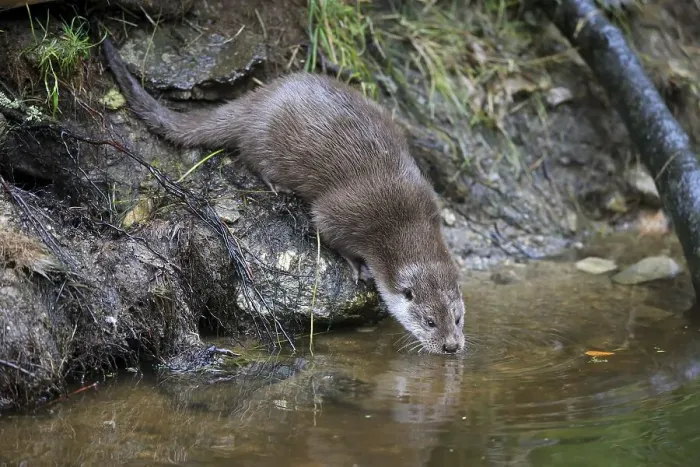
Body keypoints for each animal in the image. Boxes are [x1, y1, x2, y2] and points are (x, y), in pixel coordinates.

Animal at [101, 37, 465, 354]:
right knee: (252, 157)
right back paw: (279, 186)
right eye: (430, 322)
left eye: (458, 318)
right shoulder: (342, 213)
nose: (451, 346)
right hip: (267, 144)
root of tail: (259, 100)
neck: (403, 221)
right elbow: (331, 233)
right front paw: (359, 267)